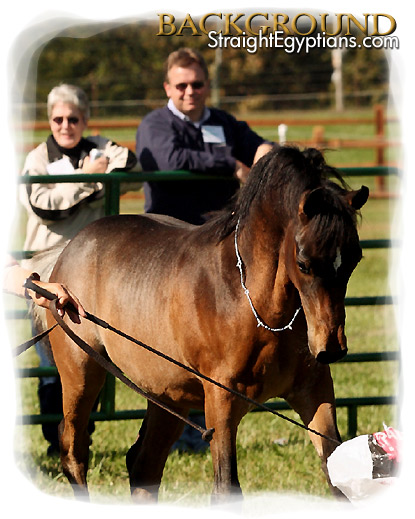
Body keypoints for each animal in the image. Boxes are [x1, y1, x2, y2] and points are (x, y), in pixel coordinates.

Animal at [45, 146, 368, 504]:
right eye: (304, 263)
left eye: (355, 259)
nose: (331, 347)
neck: (257, 310)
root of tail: (70, 248)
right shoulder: (221, 401)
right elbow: (226, 486)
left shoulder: (314, 391)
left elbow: (336, 473)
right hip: (82, 372)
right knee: (73, 449)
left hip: (167, 395)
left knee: (143, 464)